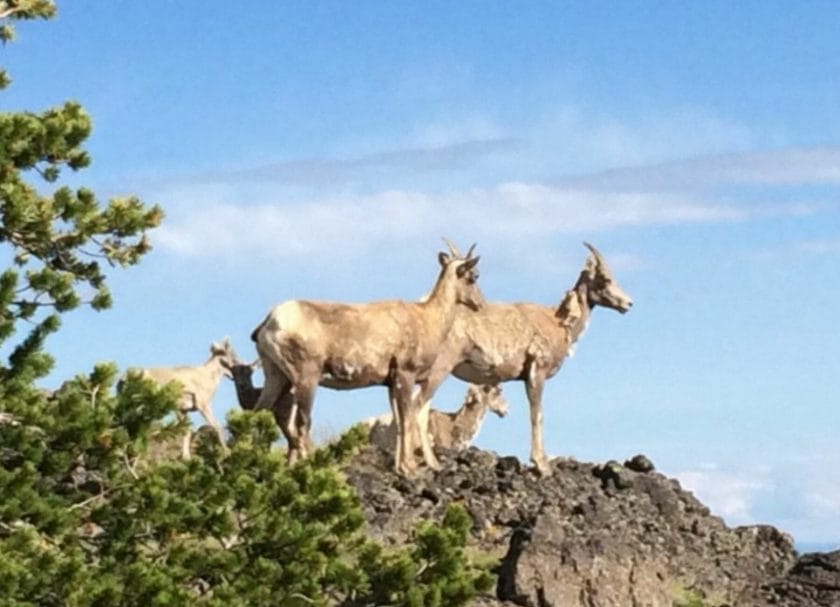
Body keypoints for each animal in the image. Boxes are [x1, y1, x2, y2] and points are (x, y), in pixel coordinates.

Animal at [251, 243, 486, 476]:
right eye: (473, 276)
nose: (480, 305)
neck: (427, 319)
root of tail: (269, 321)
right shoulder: (406, 374)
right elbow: (407, 417)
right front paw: (409, 468)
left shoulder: (391, 382)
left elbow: (399, 421)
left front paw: (401, 467)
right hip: (306, 377)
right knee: (302, 422)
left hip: (276, 376)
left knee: (259, 412)